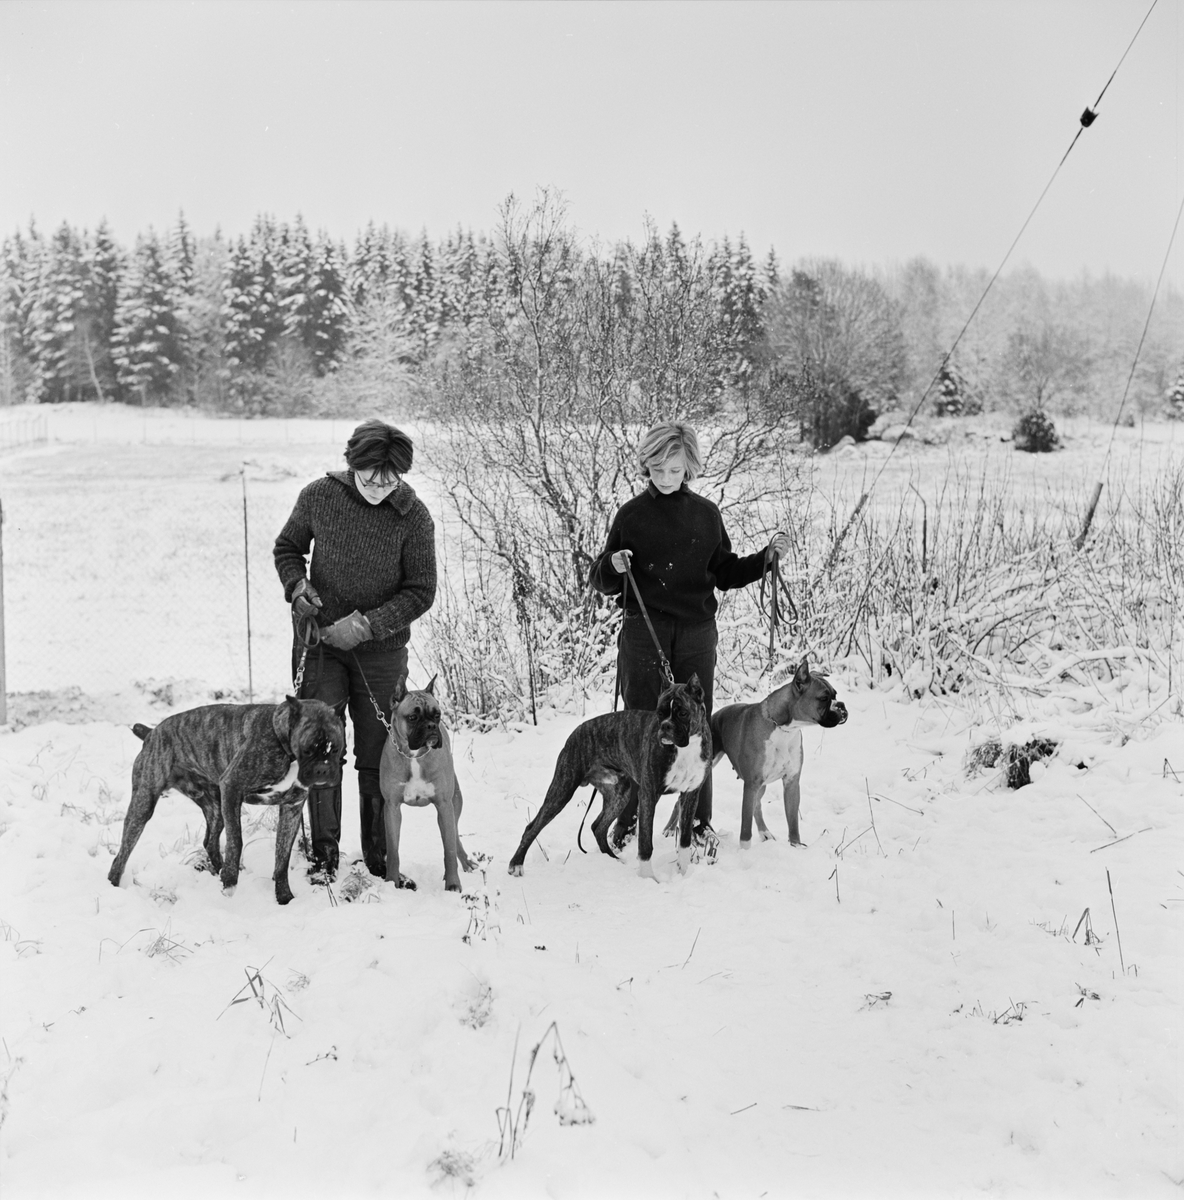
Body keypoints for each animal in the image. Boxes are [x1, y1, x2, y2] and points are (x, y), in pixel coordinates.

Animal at [106, 700, 350, 902]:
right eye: (308, 749)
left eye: (336, 748)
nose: (322, 770)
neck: (284, 745)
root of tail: (152, 732)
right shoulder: (232, 788)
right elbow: (237, 840)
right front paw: (231, 882)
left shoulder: (291, 808)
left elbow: (282, 857)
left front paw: (284, 897)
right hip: (144, 804)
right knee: (122, 853)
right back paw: (113, 886)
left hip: (216, 808)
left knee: (210, 841)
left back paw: (219, 871)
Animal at [376, 676, 475, 892]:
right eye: (413, 717)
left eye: (437, 715)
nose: (431, 726)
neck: (413, 756)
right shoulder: (392, 808)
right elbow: (393, 852)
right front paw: (391, 883)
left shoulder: (444, 805)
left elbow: (449, 849)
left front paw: (453, 884)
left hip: (453, 804)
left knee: (454, 835)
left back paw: (465, 863)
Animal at [508, 676, 714, 883]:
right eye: (660, 713)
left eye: (683, 713)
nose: (665, 726)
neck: (686, 748)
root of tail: (575, 732)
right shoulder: (648, 795)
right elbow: (645, 843)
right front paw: (648, 878)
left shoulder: (690, 795)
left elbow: (685, 840)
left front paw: (684, 873)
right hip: (562, 790)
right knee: (532, 827)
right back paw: (516, 865)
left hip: (619, 793)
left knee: (597, 826)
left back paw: (614, 860)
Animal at [710, 657, 849, 844]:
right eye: (824, 698)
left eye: (835, 695)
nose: (841, 706)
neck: (784, 728)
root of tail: (714, 716)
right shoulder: (751, 784)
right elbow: (745, 827)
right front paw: (744, 848)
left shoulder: (791, 783)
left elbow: (793, 821)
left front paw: (796, 846)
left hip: (761, 786)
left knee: (757, 806)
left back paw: (765, 832)